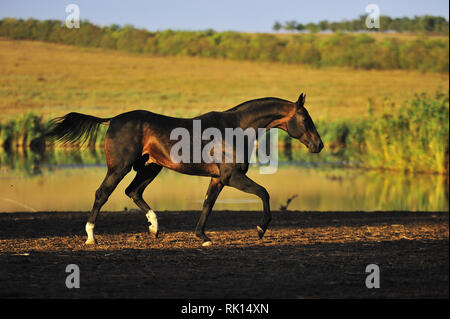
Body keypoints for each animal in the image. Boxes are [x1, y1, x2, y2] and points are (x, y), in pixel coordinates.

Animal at [46, 92, 324, 248]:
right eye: (306, 119)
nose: (319, 145)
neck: (235, 129)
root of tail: (112, 119)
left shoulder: (218, 179)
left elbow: (207, 205)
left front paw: (203, 236)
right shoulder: (232, 176)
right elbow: (264, 193)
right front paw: (260, 229)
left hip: (150, 168)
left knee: (133, 192)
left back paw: (154, 228)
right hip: (120, 167)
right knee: (102, 194)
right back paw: (91, 237)